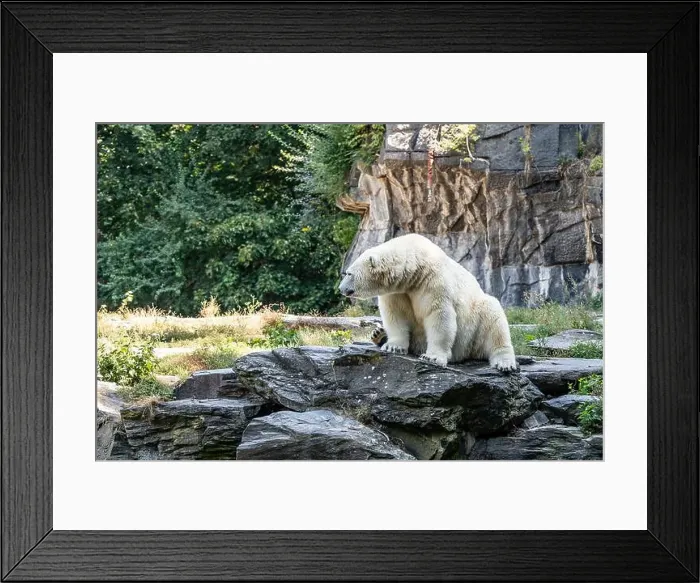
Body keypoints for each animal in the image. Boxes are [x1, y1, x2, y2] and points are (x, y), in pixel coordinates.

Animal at [338, 233, 518, 372]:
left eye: (348, 274)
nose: (340, 289)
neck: (415, 268)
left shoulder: (433, 283)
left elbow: (439, 316)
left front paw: (432, 357)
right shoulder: (397, 291)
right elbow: (395, 314)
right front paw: (393, 346)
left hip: (475, 321)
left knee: (494, 321)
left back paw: (504, 363)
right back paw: (379, 334)